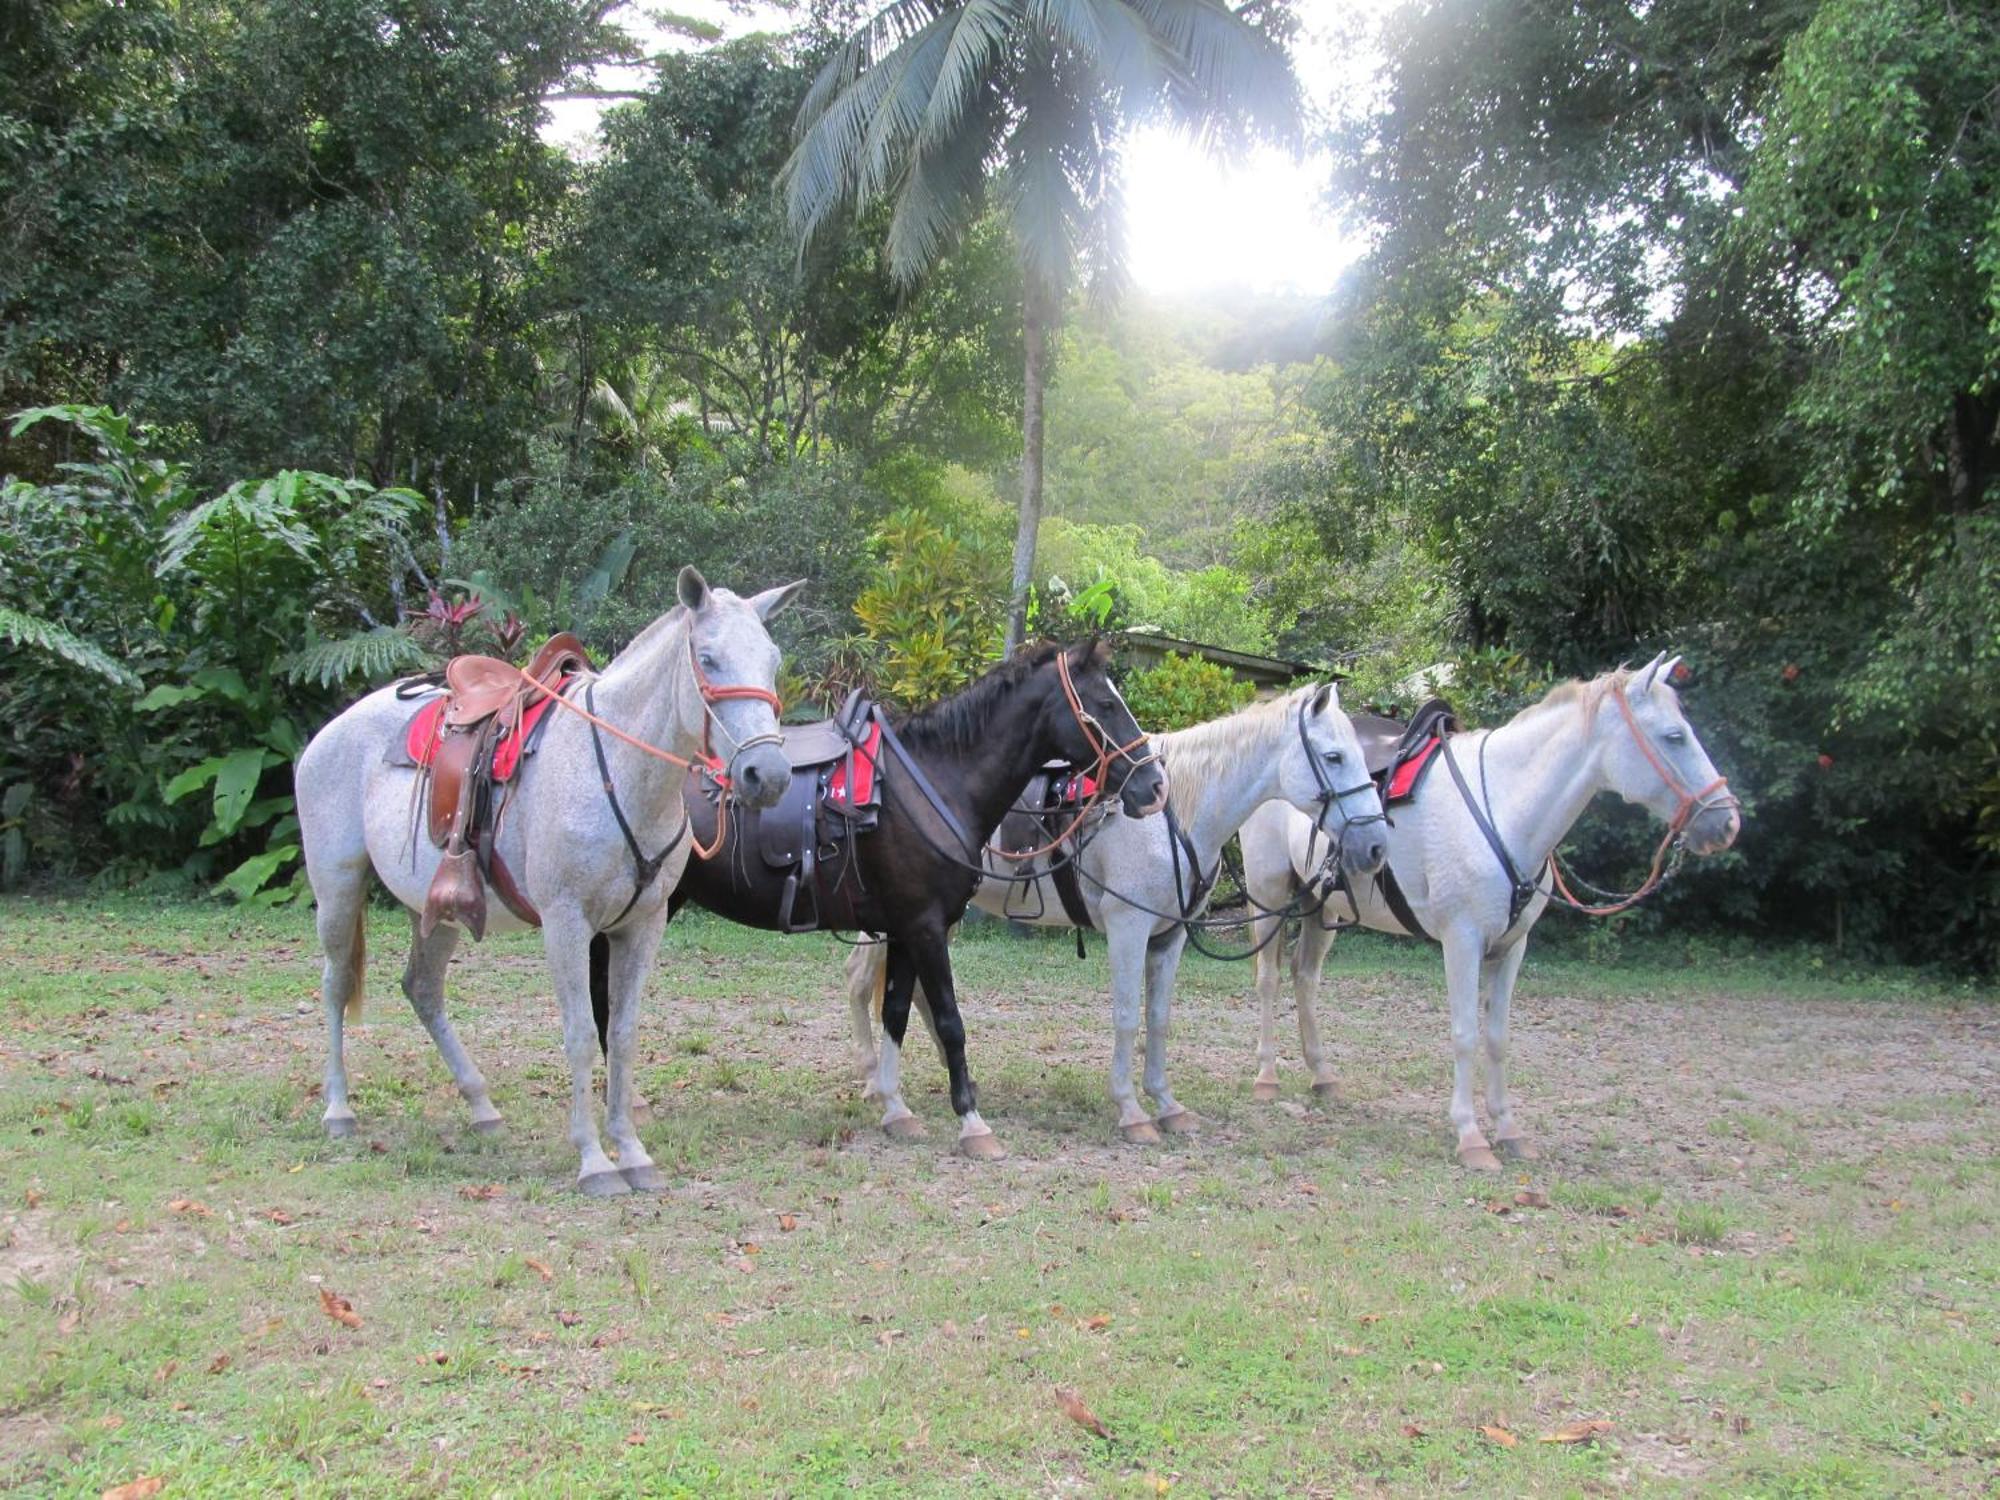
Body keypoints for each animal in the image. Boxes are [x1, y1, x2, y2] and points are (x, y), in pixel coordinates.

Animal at [296, 568, 796, 1200]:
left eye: (772, 660)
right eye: (707, 658)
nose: (767, 775)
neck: (616, 770)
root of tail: (328, 733)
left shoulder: (643, 925)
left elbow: (623, 1034)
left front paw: (633, 1152)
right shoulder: (566, 923)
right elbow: (582, 1033)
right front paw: (595, 1161)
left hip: (435, 906)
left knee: (422, 989)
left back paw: (481, 1106)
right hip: (337, 889)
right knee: (336, 985)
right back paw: (338, 1109)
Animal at [664, 640, 1168, 1160]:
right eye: (1105, 704)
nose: (1153, 785)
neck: (936, 783)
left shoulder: (904, 930)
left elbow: (896, 1014)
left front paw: (896, 1109)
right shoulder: (925, 928)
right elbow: (949, 1021)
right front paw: (972, 1123)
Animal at [844, 688, 1392, 1144]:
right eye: (1334, 756)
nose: (1376, 845)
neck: (1174, 812)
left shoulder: (1170, 936)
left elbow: (1159, 1017)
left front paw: (1167, 1104)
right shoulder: (1129, 928)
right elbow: (1127, 1016)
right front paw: (1131, 1110)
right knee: (860, 982)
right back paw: (875, 1084)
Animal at [1240, 656, 1744, 1176]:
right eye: (1674, 736)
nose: (1726, 821)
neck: (1502, 807)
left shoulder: (1511, 947)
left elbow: (1498, 1037)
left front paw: (1509, 1130)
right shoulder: (1461, 941)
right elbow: (1464, 1033)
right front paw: (1471, 1136)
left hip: (1321, 906)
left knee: (1304, 978)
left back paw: (1322, 1075)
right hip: (1268, 893)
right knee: (1269, 979)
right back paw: (1267, 1076)